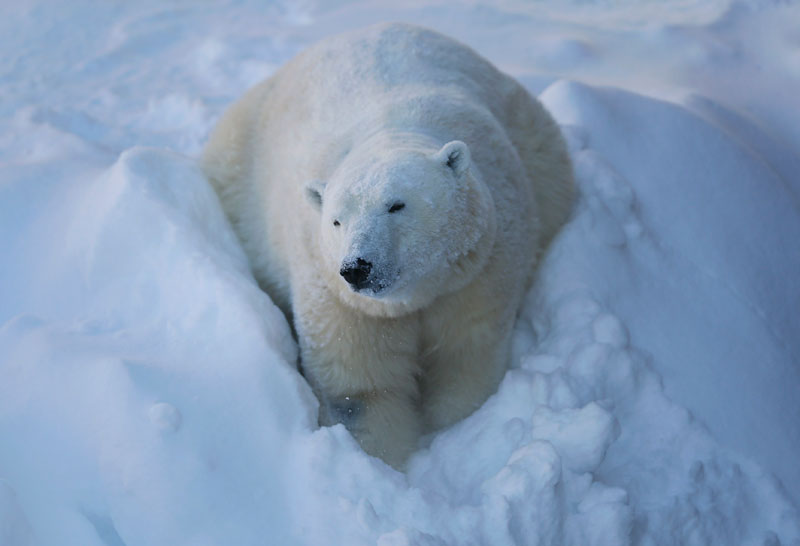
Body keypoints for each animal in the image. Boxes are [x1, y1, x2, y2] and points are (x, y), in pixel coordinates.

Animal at [202, 22, 574, 468]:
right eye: (337, 220)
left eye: (396, 205)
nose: (357, 267)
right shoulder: (341, 299)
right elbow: (361, 389)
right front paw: (385, 460)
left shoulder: (478, 271)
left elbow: (465, 355)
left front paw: (450, 427)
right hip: (237, 168)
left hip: (534, 138)